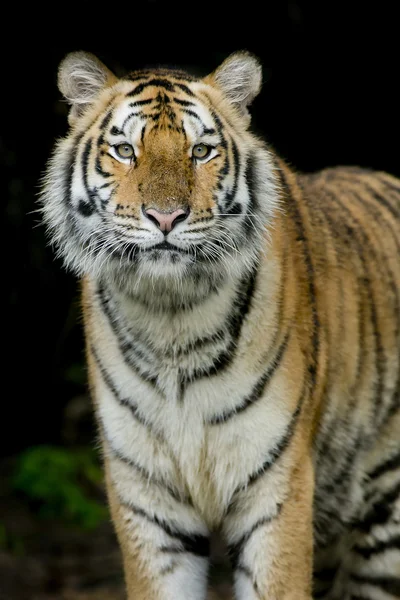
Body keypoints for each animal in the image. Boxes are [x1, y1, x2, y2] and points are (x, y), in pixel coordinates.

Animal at [41, 51, 400, 600]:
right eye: (124, 150)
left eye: (201, 151)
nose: (165, 217)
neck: (170, 321)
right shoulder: (146, 499)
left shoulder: (277, 490)